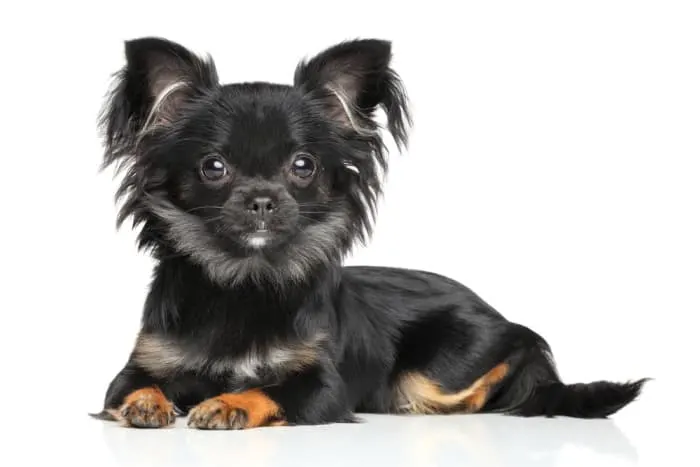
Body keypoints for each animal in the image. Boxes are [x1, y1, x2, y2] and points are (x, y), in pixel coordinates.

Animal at [90, 37, 648, 432]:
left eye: (303, 165)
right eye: (213, 167)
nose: (262, 199)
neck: (244, 280)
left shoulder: (322, 386)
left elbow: (270, 390)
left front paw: (229, 403)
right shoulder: (140, 364)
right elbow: (129, 389)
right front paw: (146, 402)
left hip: (437, 370)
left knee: (518, 352)